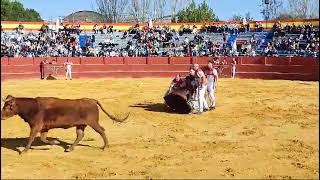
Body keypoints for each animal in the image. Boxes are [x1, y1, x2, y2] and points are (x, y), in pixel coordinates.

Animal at [1, 95, 129, 154]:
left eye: (7, 107)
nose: (1, 116)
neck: (33, 107)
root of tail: (92, 100)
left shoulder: (35, 126)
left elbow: (31, 138)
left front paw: (24, 151)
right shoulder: (44, 128)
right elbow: (43, 139)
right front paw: (54, 142)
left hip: (93, 123)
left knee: (101, 130)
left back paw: (105, 146)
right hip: (81, 124)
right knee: (80, 135)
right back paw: (70, 148)